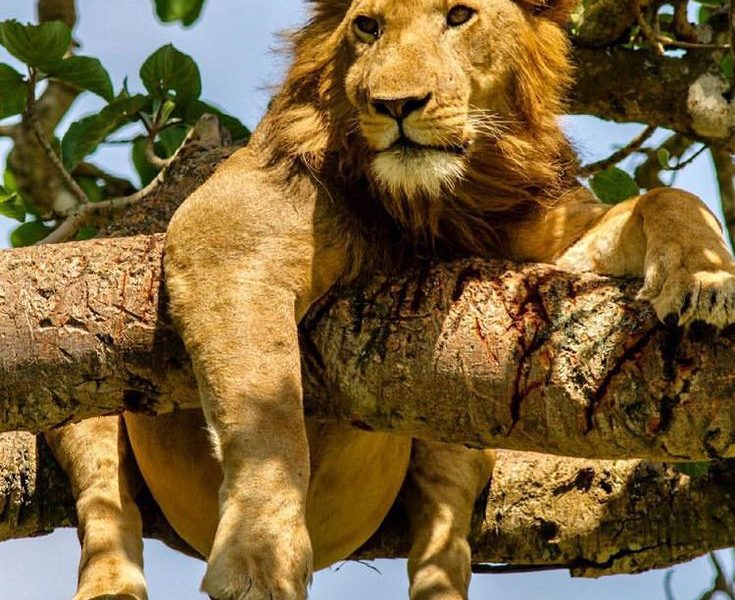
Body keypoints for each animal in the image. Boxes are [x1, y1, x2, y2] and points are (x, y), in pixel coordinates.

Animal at [46, 0, 735, 599]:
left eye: (458, 15)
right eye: (367, 26)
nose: (396, 104)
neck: (435, 201)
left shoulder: (547, 243)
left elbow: (668, 198)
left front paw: (707, 279)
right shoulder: (224, 236)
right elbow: (268, 415)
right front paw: (259, 558)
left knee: (443, 528)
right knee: (105, 503)